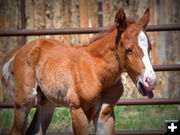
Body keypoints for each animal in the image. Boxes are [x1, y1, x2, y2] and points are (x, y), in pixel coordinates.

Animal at [0, 8, 156, 134]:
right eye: (128, 49)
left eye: (149, 48)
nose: (151, 81)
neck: (96, 72)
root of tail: (23, 48)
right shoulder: (78, 111)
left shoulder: (105, 114)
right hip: (24, 101)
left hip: (46, 103)